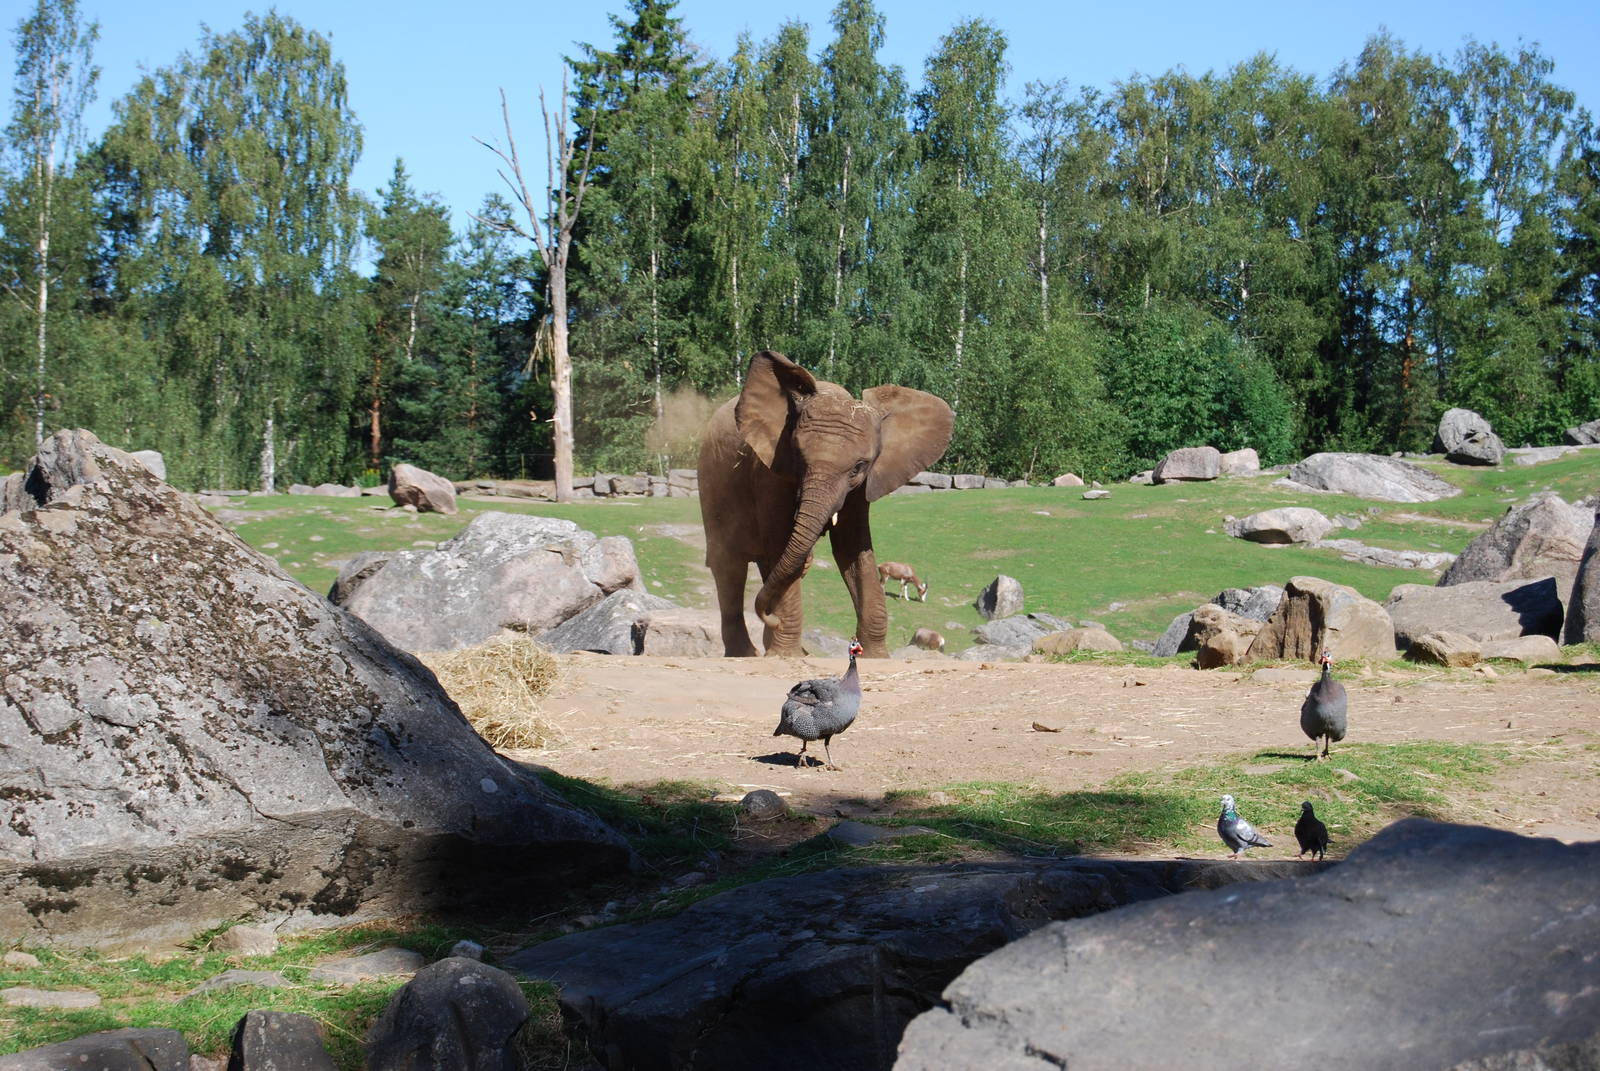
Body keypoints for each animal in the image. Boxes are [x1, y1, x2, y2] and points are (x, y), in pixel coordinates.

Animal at [698, 351, 955, 658]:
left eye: (859, 466)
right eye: (799, 456)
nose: (770, 617)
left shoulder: (863, 485)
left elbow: (853, 547)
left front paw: (876, 656)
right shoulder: (770, 472)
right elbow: (779, 544)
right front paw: (787, 656)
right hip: (711, 481)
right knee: (729, 565)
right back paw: (747, 653)